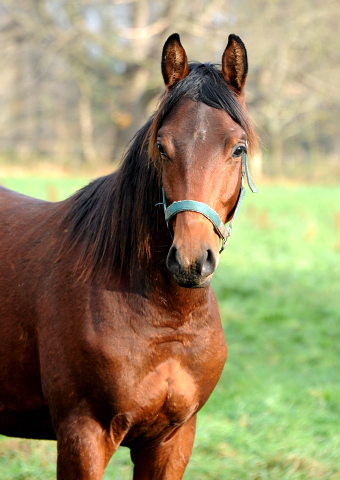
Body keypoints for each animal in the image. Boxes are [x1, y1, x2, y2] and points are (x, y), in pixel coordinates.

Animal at [0, 34, 256, 480]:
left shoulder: (171, 441)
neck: (167, 320)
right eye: (161, 146)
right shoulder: (83, 437)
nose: (191, 260)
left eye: (238, 149)